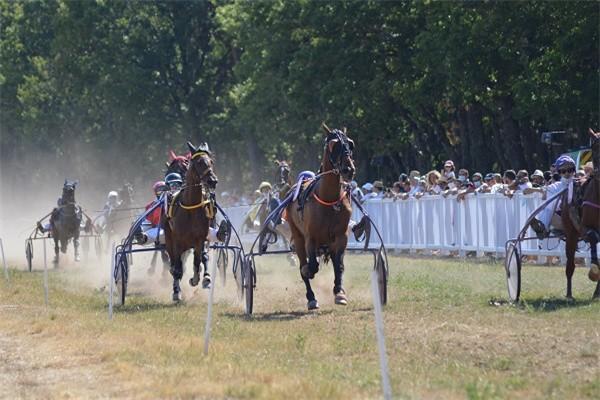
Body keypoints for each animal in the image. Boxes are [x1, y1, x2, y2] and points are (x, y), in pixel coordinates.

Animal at [163, 142, 219, 302]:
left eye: (211, 161)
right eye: (199, 162)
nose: (213, 180)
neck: (191, 207)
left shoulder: (200, 239)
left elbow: (198, 260)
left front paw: (197, 279)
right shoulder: (176, 241)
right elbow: (176, 267)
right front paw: (176, 292)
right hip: (169, 240)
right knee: (175, 264)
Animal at [284, 124, 354, 310]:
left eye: (350, 143)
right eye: (333, 144)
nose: (348, 169)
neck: (329, 200)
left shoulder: (341, 236)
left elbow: (339, 265)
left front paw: (339, 292)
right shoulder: (311, 238)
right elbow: (311, 267)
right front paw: (307, 271)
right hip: (298, 236)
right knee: (304, 263)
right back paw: (311, 297)